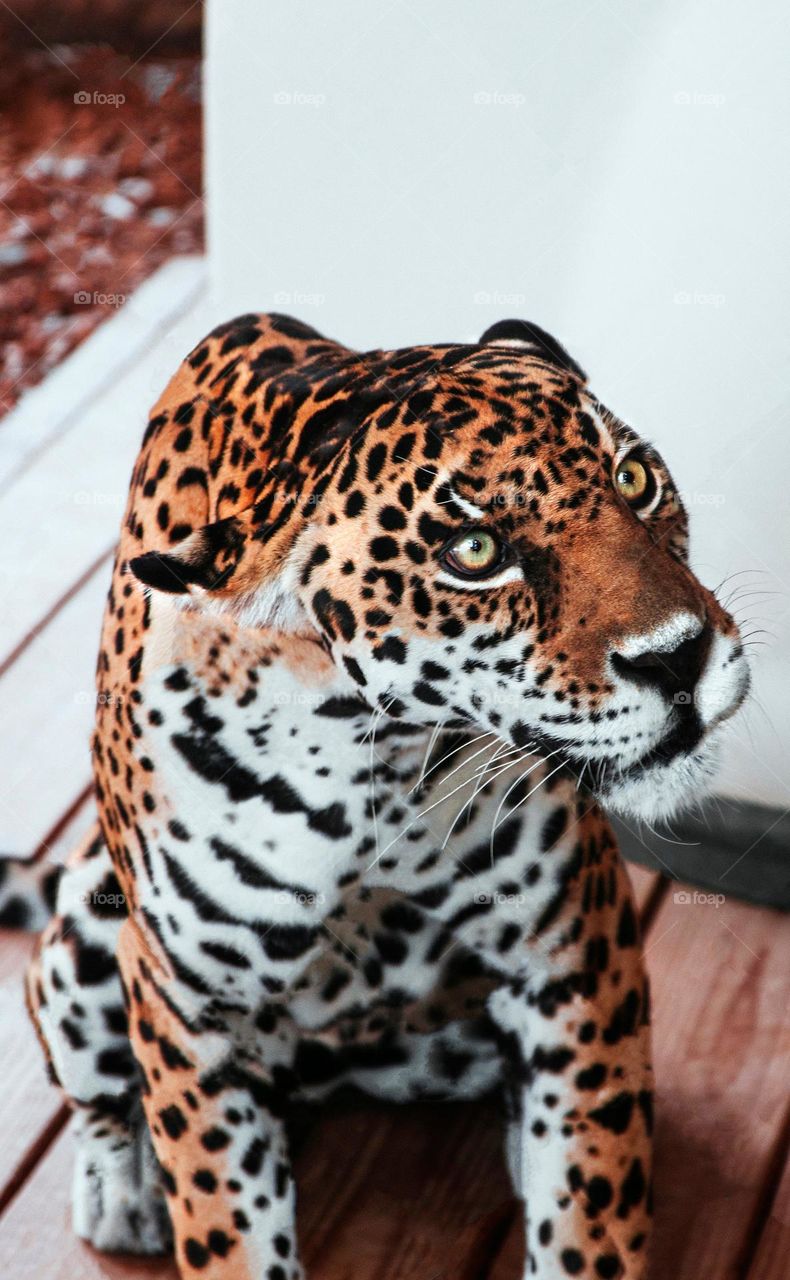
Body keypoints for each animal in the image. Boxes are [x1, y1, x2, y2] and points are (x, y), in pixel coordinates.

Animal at [25, 312, 749, 1280]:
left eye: (635, 479)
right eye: (474, 554)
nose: (679, 658)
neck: (367, 757)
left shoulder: (573, 952)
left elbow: (590, 1216)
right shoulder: (190, 1012)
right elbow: (226, 1228)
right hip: (84, 927)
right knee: (98, 1096)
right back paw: (121, 1196)